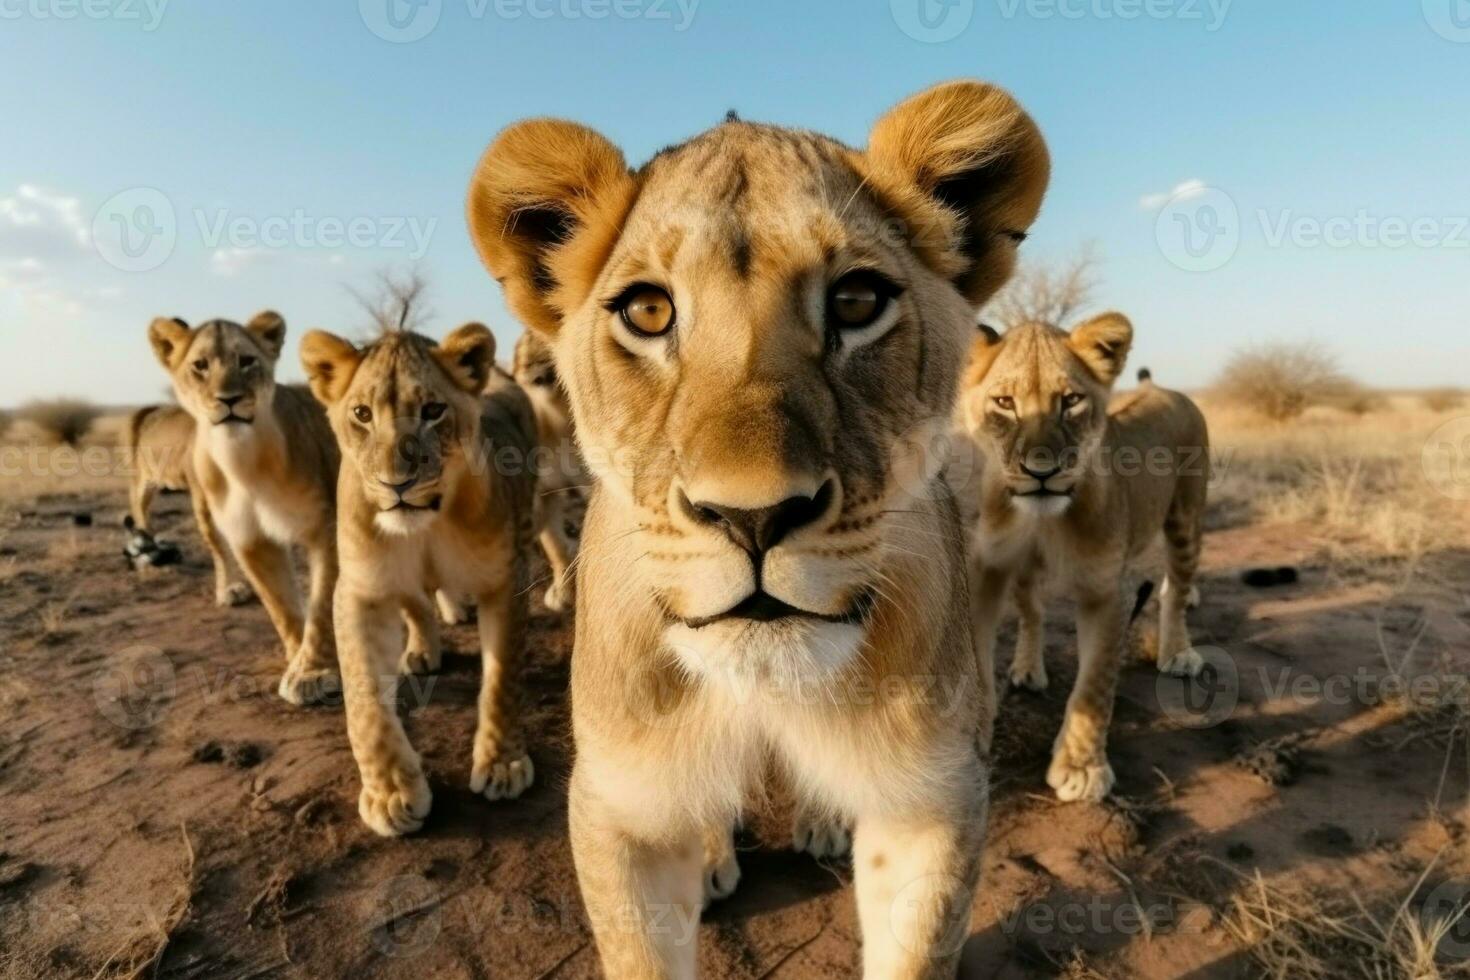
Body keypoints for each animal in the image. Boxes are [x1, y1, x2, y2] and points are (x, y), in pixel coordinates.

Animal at [122, 399, 251, 605]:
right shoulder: (204, 502)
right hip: (141, 482)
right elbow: (221, 548)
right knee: (139, 512)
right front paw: (227, 591)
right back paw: (148, 555)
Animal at [149, 314, 343, 705]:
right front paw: (297, 659)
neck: (243, 461)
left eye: (247, 361)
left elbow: (321, 605)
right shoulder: (251, 539)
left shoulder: (325, 527)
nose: (229, 399)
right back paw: (231, 590)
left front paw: (314, 672)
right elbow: (281, 607)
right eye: (200, 365)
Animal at [298, 323, 546, 834]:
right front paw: (391, 793)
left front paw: (502, 764)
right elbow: (364, 703)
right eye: (362, 414)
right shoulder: (361, 591)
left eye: (433, 411)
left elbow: (502, 680)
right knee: (417, 604)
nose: (397, 483)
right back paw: (423, 648)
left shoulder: (505, 579)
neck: (426, 526)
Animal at [958, 314, 1211, 805]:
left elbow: (1093, 689)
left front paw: (1080, 768)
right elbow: (977, 661)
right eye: (1005, 403)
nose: (1041, 472)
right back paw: (1028, 668)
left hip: (1185, 519)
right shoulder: (988, 570)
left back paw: (1177, 652)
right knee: (1033, 611)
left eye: (1071, 401)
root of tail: (1162, 388)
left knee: (1175, 587)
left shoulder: (1106, 591)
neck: (1043, 521)